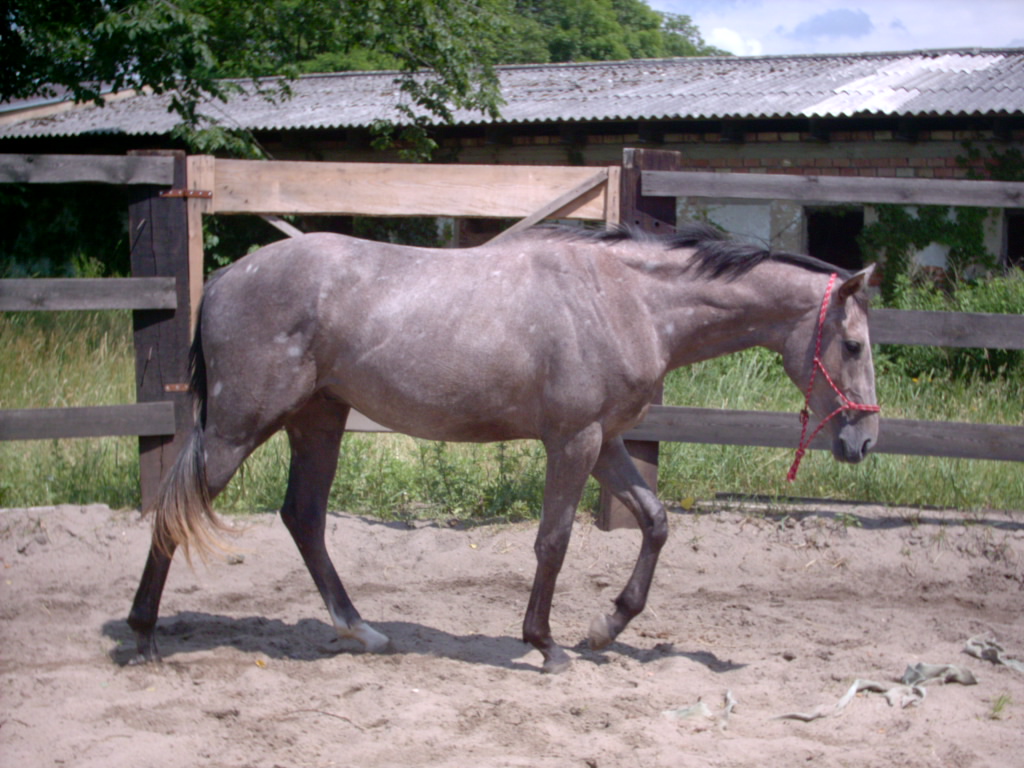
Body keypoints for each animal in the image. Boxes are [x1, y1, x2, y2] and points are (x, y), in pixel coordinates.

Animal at [128, 222, 880, 671]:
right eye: (853, 345)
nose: (865, 440)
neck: (631, 300)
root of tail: (224, 280)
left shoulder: (604, 440)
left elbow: (656, 521)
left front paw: (606, 627)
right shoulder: (573, 441)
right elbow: (554, 541)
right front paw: (545, 644)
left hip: (319, 419)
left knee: (303, 518)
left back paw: (363, 632)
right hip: (238, 428)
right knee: (176, 510)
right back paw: (141, 634)